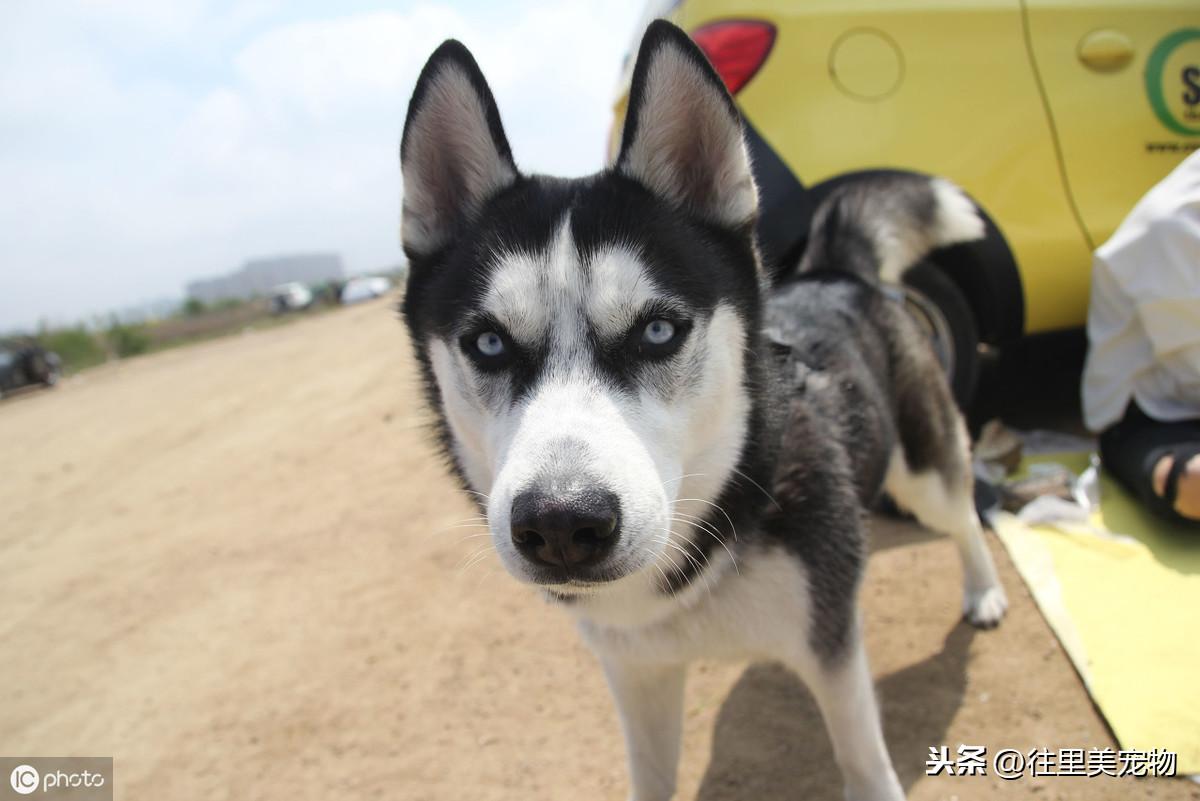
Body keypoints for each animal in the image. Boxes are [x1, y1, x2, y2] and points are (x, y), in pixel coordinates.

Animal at [398, 18, 1008, 801]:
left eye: (659, 330)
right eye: (489, 342)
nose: (561, 525)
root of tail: (835, 271)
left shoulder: (833, 650)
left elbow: (866, 766)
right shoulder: (636, 671)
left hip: (923, 468)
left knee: (960, 513)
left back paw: (983, 590)